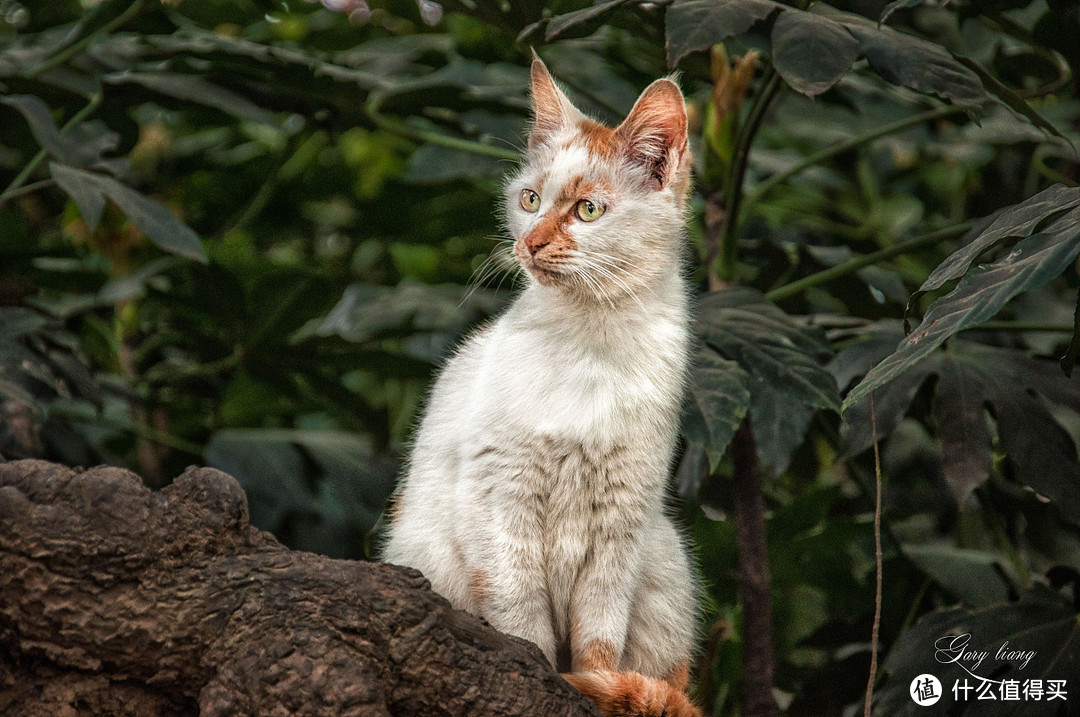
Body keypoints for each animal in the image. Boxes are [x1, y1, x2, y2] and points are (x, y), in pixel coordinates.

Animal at [380, 57, 699, 717]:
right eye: (529, 200)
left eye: (587, 211)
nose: (528, 243)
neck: (591, 346)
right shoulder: (499, 504)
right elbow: (523, 626)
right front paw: (543, 674)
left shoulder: (623, 522)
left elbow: (599, 641)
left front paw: (594, 685)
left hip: (665, 561)